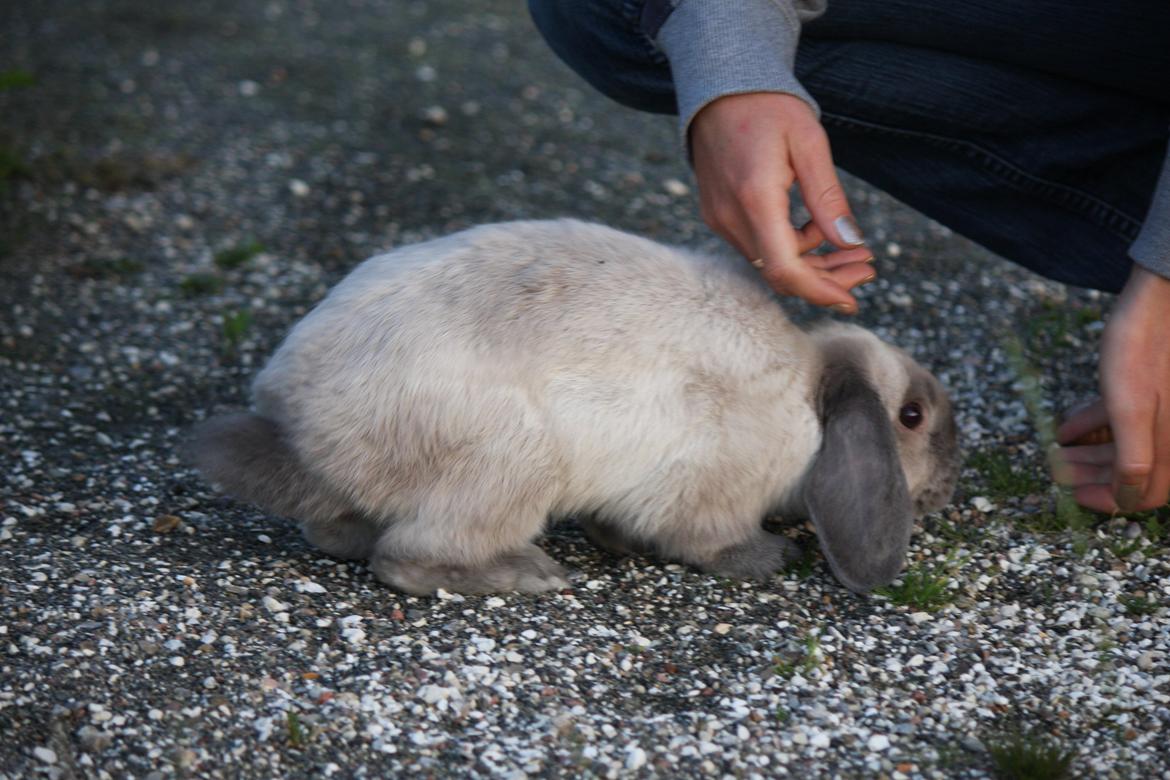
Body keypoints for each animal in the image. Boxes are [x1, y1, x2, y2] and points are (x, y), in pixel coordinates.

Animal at [189, 219, 959, 598]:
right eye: (912, 417)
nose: (952, 477)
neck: (810, 400)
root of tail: (298, 429)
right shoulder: (712, 493)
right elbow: (710, 541)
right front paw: (768, 557)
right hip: (516, 461)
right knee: (406, 559)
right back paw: (529, 575)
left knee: (340, 532)